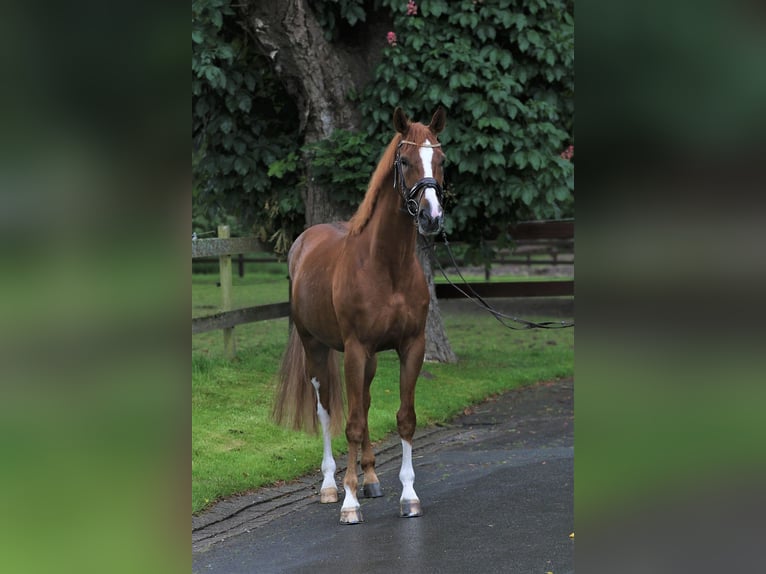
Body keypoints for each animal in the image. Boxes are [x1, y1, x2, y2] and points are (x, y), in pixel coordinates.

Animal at [273, 107, 448, 524]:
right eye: (405, 161)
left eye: (441, 160)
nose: (432, 217)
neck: (387, 267)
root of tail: (302, 244)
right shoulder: (354, 348)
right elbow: (350, 424)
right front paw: (349, 503)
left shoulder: (410, 347)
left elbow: (404, 418)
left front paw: (408, 496)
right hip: (317, 350)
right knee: (327, 412)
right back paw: (331, 486)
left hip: (367, 360)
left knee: (364, 404)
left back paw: (370, 478)